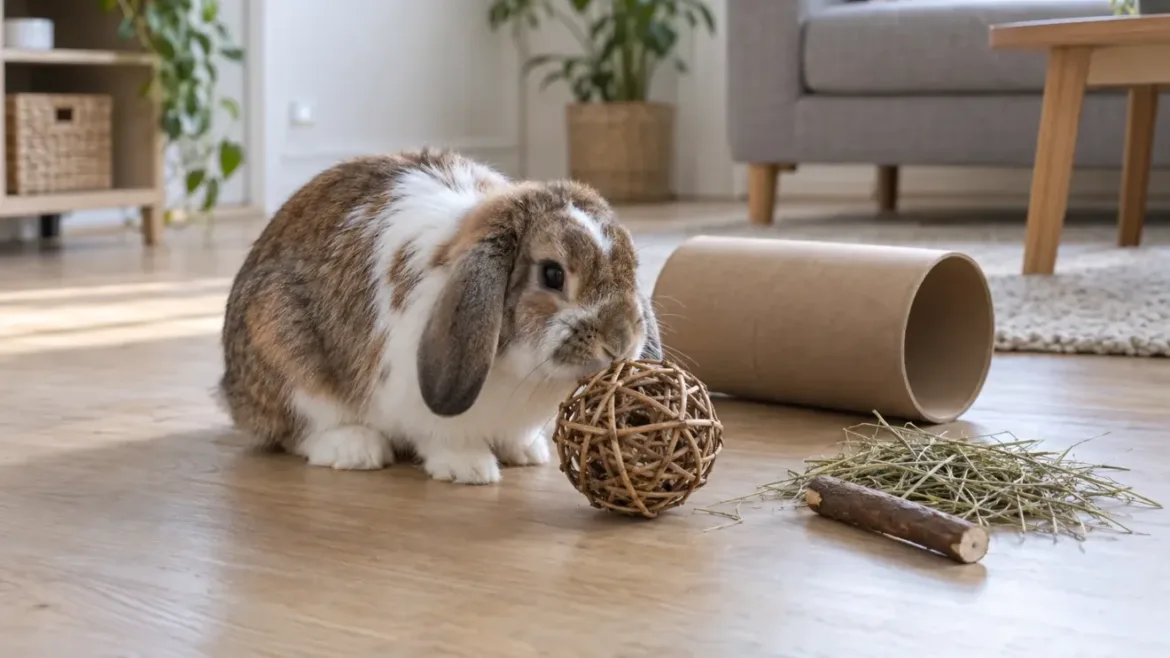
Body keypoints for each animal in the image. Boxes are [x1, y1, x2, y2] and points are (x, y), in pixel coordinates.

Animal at [218, 147, 661, 484]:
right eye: (553, 274)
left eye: (632, 266)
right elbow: (442, 437)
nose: (620, 341)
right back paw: (356, 449)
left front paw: (524, 452)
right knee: (299, 430)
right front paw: (471, 469)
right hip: (280, 343)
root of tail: (234, 394)